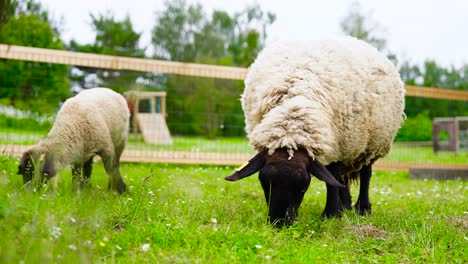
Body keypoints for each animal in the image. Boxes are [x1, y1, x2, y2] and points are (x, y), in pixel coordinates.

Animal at [225, 36, 404, 226]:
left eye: (303, 187)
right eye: (264, 182)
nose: (279, 223)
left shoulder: (338, 143)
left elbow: (332, 177)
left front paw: (331, 213)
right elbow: (334, 178)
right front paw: (337, 209)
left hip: (371, 142)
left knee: (365, 174)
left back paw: (362, 208)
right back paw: (345, 204)